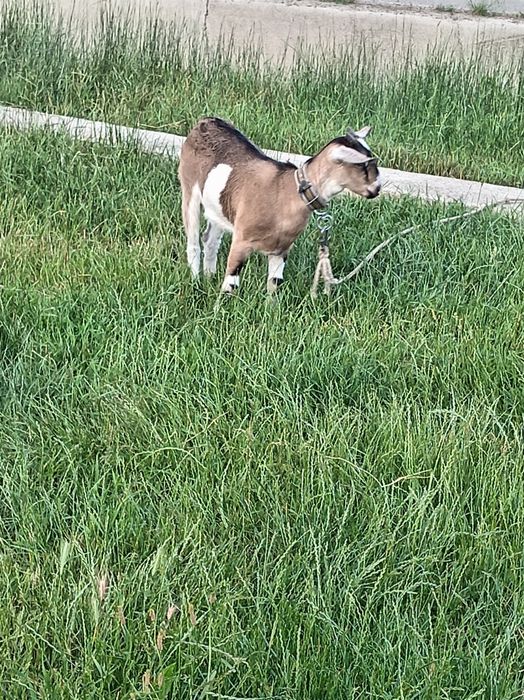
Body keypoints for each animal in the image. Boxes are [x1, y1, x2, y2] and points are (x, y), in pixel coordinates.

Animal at [178, 117, 381, 294]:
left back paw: (209, 277)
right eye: (363, 166)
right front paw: (220, 309)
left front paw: (270, 311)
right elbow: (231, 283)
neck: (287, 193)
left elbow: (274, 283)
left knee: (210, 240)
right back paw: (196, 282)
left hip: (218, 209)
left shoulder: (281, 249)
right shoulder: (241, 240)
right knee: (194, 242)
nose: (377, 188)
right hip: (189, 189)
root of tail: (205, 121)